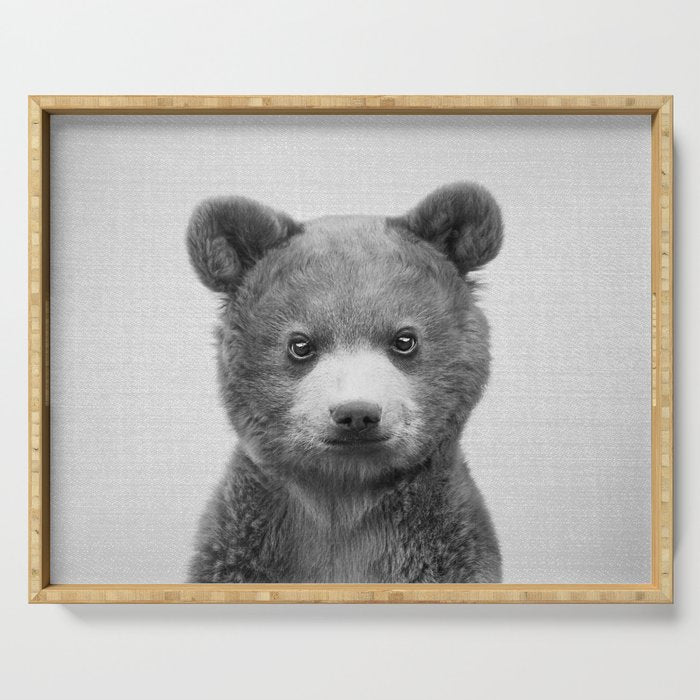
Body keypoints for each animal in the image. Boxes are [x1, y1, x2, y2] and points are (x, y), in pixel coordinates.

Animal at [186, 182, 503, 584]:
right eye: (300, 344)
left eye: (404, 339)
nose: (357, 413)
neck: (344, 495)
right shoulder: (243, 547)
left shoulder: (446, 548)